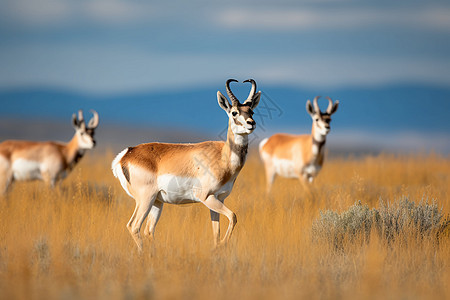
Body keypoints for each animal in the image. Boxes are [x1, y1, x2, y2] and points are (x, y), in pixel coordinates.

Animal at [110, 78, 262, 251]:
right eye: (234, 112)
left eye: (251, 111)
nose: (251, 123)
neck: (222, 156)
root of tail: (126, 154)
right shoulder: (206, 197)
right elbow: (233, 216)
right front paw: (224, 244)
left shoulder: (218, 199)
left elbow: (216, 233)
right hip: (145, 199)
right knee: (134, 226)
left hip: (157, 202)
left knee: (149, 231)